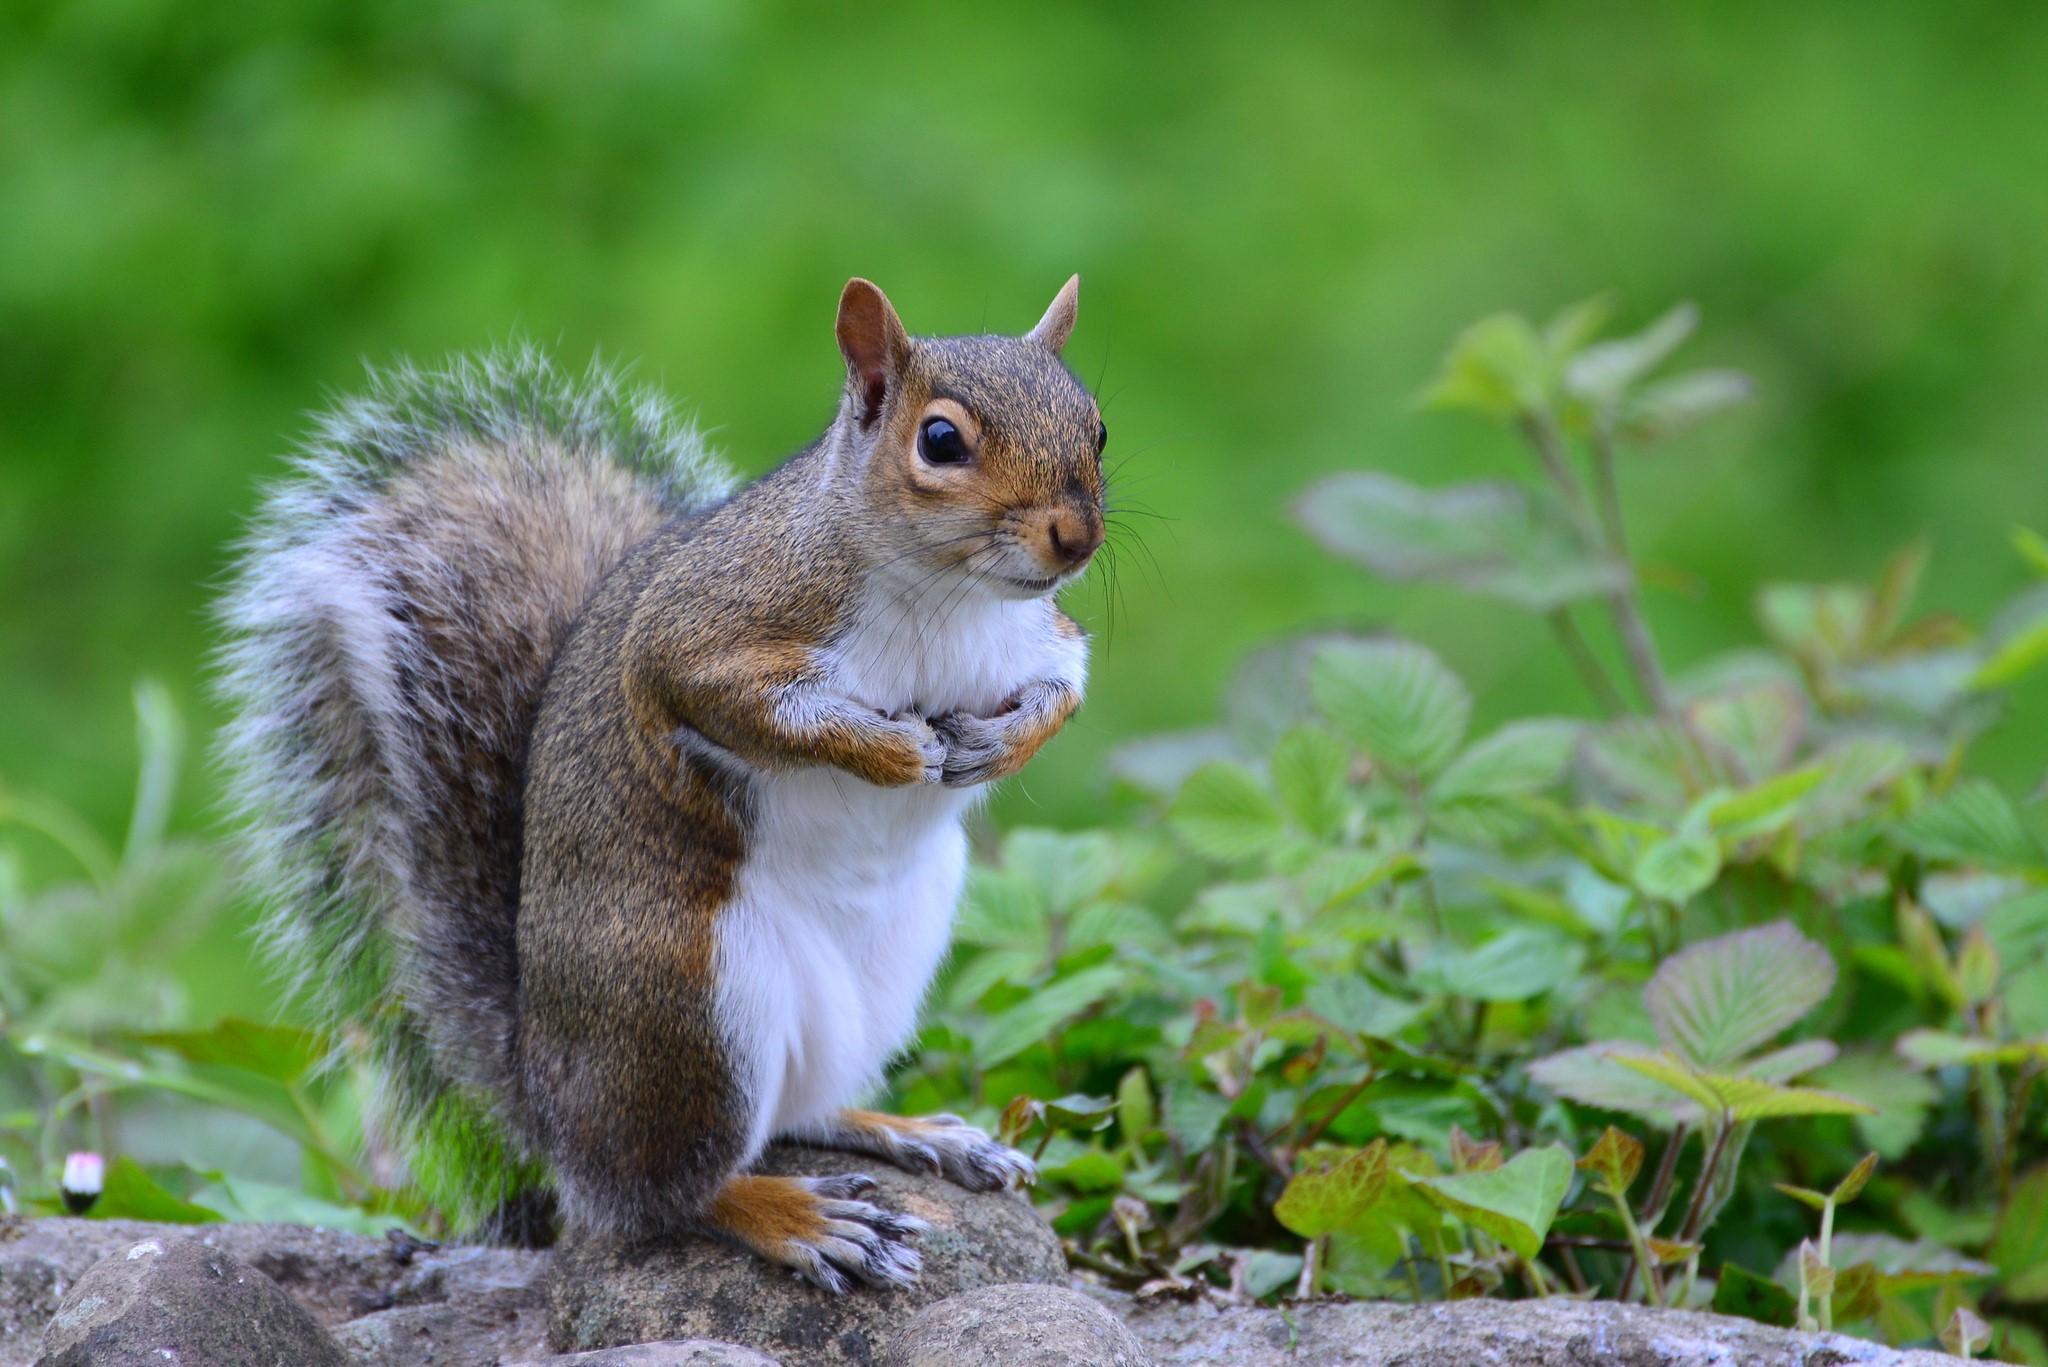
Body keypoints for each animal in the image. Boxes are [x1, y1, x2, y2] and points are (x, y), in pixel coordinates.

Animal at [215, 277, 1106, 1291]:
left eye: (1097, 424)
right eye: (942, 441)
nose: (1076, 538)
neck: (950, 595)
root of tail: (548, 1104)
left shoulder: (1041, 637)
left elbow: (1065, 686)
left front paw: (998, 744)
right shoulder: (702, 633)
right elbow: (740, 702)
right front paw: (892, 753)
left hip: (885, 969)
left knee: (799, 1111)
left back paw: (915, 1132)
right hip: (690, 1002)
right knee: (661, 1193)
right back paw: (797, 1216)